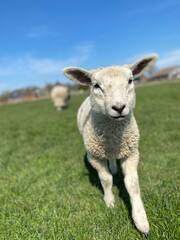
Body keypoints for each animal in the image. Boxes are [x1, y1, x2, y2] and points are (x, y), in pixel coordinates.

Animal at [63, 54, 158, 236]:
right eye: (96, 85)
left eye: (130, 80)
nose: (119, 107)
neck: (114, 137)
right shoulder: (95, 156)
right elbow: (106, 179)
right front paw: (109, 202)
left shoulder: (131, 153)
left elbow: (133, 184)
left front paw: (141, 221)